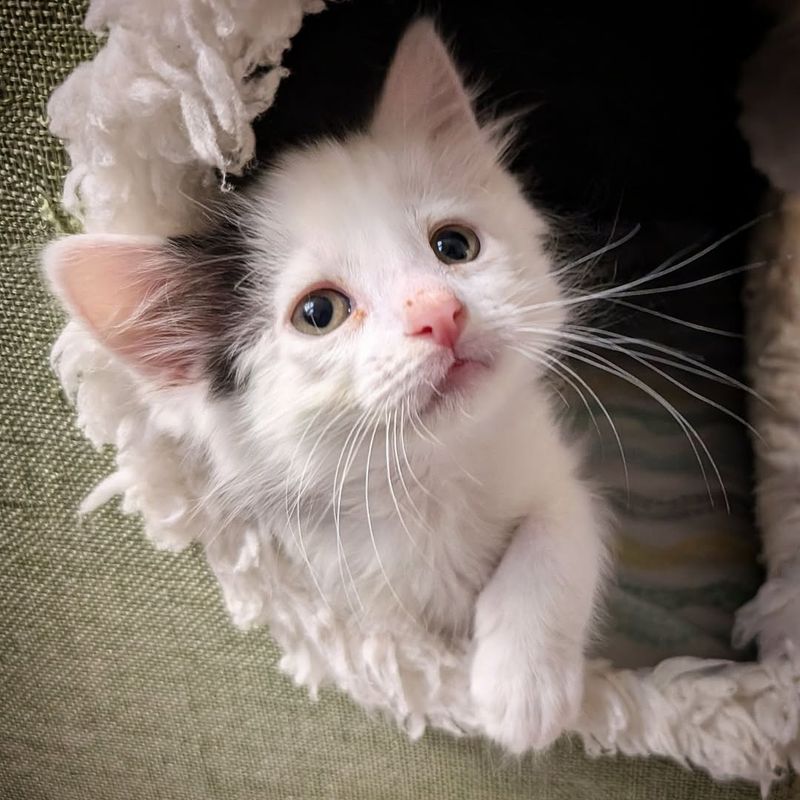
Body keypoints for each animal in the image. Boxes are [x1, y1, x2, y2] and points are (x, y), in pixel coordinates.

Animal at [42, 20, 608, 756]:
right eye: (319, 313)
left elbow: (560, 529)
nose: (440, 312)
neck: (430, 480)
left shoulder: (548, 464)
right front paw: (513, 696)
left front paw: (523, 686)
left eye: (454, 246)